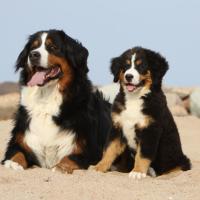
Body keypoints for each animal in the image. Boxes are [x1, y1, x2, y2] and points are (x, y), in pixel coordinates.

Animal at [1, 29, 111, 173]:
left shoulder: (90, 151)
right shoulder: (20, 140)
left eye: (53, 47)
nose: (33, 55)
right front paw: (13, 163)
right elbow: (17, 153)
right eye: (33, 47)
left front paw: (59, 167)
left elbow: (70, 158)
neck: (46, 99)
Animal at [91, 46, 191, 178]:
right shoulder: (117, 127)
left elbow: (143, 154)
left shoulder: (150, 129)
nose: (128, 76)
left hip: (179, 161)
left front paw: (137, 172)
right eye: (126, 65)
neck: (134, 98)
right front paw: (99, 167)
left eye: (141, 66)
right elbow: (109, 150)